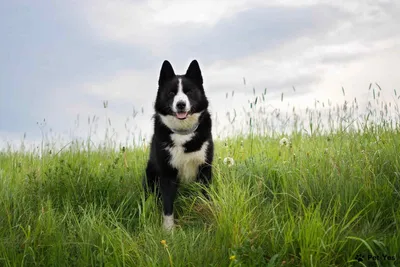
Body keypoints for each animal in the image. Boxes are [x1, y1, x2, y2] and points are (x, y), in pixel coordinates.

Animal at [143, 59, 214, 231]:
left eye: (189, 92)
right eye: (171, 93)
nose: (181, 104)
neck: (183, 133)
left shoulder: (205, 169)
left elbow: (206, 197)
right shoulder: (167, 174)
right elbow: (168, 205)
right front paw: (168, 231)